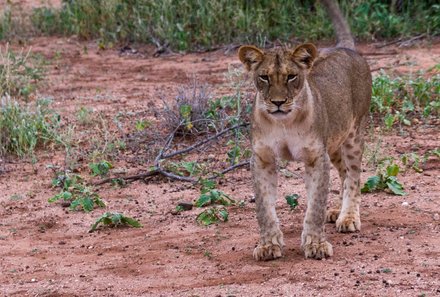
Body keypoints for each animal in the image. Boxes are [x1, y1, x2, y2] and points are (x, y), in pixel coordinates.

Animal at [237, 40, 372, 258]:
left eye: (291, 76)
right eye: (264, 77)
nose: (278, 102)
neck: (284, 122)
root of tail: (346, 48)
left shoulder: (316, 157)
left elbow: (315, 205)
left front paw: (316, 244)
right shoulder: (262, 158)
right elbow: (264, 208)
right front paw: (268, 246)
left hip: (354, 135)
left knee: (353, 177)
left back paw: (348, 217)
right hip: (334, 144)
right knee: (343, 173)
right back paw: (337, 211)